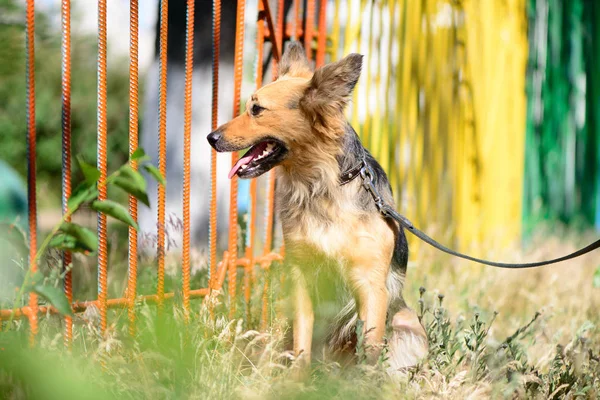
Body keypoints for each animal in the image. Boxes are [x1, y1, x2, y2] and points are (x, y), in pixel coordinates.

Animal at [206, 42, 426, 374]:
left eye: (256, 109)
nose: (211, 137)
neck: (318, 185)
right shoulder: (302, 275)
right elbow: (302, 340)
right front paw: (296, 379)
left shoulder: (371, 286)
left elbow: (369, 349)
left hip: (406, 320)